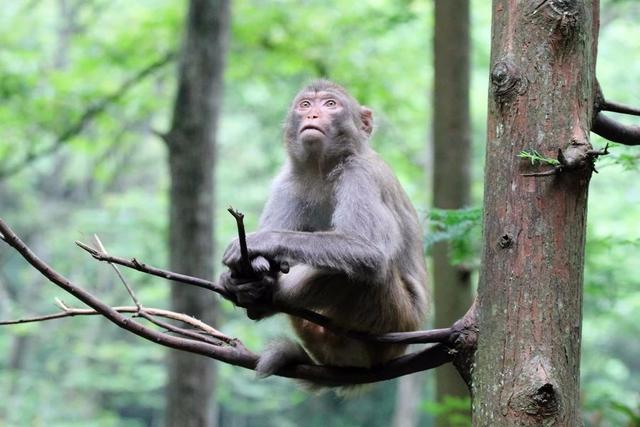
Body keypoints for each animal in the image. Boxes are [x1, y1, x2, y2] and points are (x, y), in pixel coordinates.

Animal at [218, 80, 428, 384]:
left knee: (364, 274)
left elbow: (370, 251)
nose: (312, 115)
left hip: (394, 319)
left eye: (330, 104)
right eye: (305, 105)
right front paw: (246, 271)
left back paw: (267, 293)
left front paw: (261, 243)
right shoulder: (287, 181)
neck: (322, 168)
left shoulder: (360, 175)